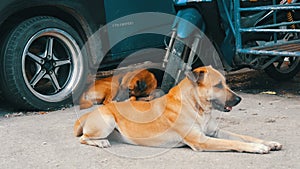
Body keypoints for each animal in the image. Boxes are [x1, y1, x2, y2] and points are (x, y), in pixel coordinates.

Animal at [74, 66, 282, 154]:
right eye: (218, 85)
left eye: (226, 83)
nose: (239, 99)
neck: (197, 107)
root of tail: (88, 114)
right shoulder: (202, 140)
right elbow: (234, 142)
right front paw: (257, 148)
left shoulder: (215, 132)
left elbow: (244, 137)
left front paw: (268, 142)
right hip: (107, 121)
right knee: (84, 138)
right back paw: (100, 142)